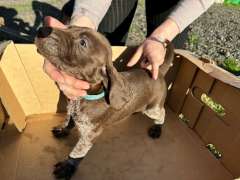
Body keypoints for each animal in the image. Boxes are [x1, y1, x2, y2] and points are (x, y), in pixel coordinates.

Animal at [34, 26, 173, 179]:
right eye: (68, 27)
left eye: (83, 43)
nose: (43, 29)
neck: (85, 98)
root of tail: (158, 74)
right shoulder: (72, 110)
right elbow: (69, 120)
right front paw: (63, 129)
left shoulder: (90, 134)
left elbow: (77, 153)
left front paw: (67, 166)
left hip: (152, 109)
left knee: (162, 113)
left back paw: (157, 128)